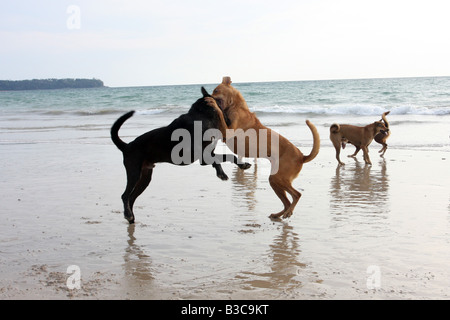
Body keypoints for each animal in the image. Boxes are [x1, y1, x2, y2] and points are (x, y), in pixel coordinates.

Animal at [109, 86, 250, 224]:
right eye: (220, 104)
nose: (230, 119)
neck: (201, 116)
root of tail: (127, 146)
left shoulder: (207, 155)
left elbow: (229, 156)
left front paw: (242, 165)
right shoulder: (203, 156)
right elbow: (219, 160)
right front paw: (221, 173)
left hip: (145, 177)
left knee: (132, 197)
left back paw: (131, 218)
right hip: (134, 172)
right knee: (125, 195)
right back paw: (128, 214)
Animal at [212, 76, 320, 219]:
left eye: (216, 90)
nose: (208, 97)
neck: (236, 106)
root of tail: (302, 156)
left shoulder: (228, 131)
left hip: (278, 178)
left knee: (296, 195)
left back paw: (288, 212)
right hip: (275, 180)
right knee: (287, 202)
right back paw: (279, 214)